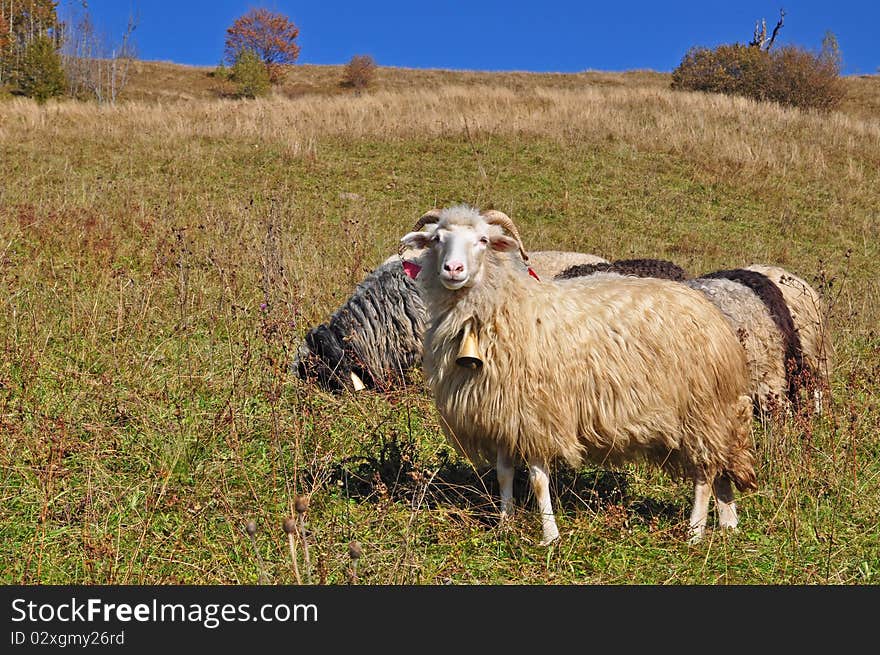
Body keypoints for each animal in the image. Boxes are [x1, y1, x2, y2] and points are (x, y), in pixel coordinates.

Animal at [402, 205, 752, 544]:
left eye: (483, 240)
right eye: (437, 239)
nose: (453, 269)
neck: (500, 308)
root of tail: (713, 315)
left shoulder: (538, 414)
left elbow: (538, 479)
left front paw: (549, 536)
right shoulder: (503, 415)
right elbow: (504, 473)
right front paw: (505, 525)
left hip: (702, 408)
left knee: (705, 472)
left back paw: (695, 532)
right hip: (713, 412)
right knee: (721, 466)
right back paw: (728, 523)